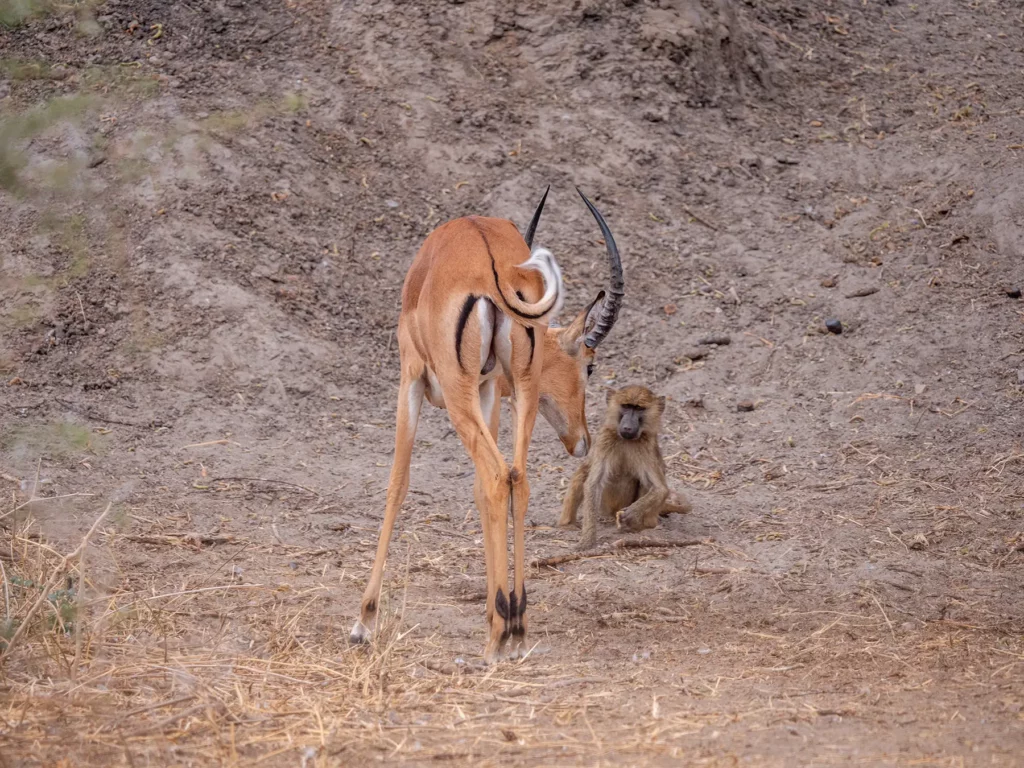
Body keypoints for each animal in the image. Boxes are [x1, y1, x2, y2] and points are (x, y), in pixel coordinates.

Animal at [350, 187, 624, 663]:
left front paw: (364, 621)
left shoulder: (411, 377)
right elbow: (481, 492)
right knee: (515, 478)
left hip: (457, 394)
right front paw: (499, 613)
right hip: (519, 391)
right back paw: (516, 629)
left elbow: (398, 484)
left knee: (498, 476)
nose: (583, 441)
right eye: (589, 366)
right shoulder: (492, 388)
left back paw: (500, 636)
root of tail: (494, 269)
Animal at [558, 384, 691, 550]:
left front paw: (631, 513)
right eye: (626, 406)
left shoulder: (645, 447)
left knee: (646, 483)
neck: (626, 440)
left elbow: (660, 488)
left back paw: (639, 526)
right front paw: (587, 539)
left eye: (639, 408)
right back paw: (567, 525)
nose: (628, 426)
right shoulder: (604, 441)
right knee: (583, 472)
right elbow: (593, 484)